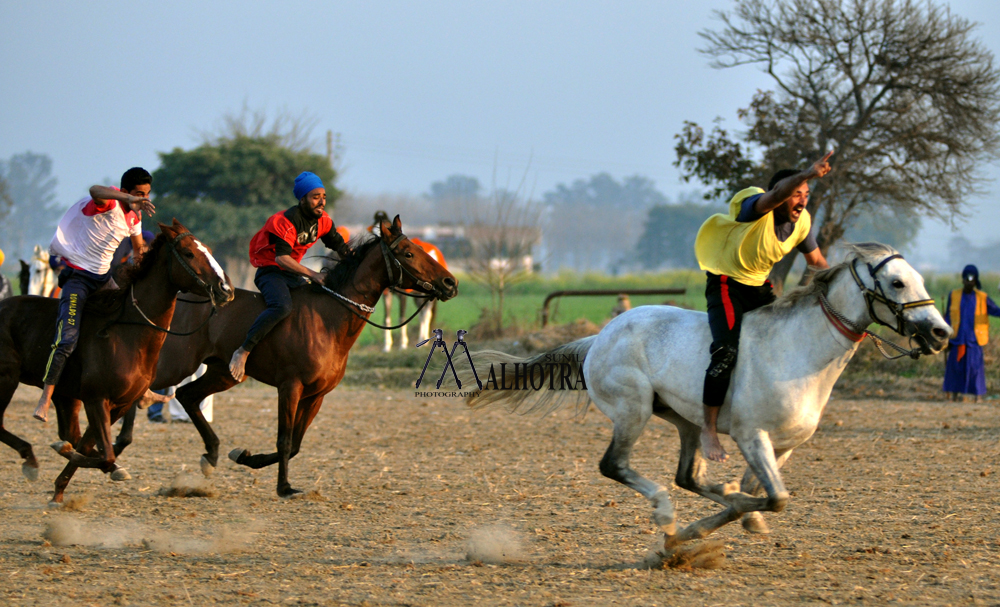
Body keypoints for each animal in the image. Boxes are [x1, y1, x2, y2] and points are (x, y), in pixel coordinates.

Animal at [0, 221, 234, 506]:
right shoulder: (97, 399)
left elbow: (90, 446)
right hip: (7, 378)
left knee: (69, 433)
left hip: (61, 395)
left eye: (207, 249)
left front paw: (60, 488)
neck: (128, 333)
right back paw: (30, 459)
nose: (225, 289)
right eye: (188, 253)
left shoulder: (119, 403)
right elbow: (103, 453)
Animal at [115, 216, 456, 496]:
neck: (329, 318)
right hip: (176, 363)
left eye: (419, 249)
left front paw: (246, 457)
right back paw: (117, 449)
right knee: (139, 387)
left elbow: (295, 445)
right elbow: (285, 440)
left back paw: (209, 454)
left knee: (187, 395)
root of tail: (181, 296)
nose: (450, 282)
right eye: (408, 253)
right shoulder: (290, 387)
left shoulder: (316, 395)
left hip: (223, 373)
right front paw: (284, 487)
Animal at [464, 245, 948, 560]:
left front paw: (733, 512)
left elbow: (758, 491)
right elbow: (776, 498)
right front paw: (713, 522)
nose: (940, 332)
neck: (799, 352)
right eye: (896, 282)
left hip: (687, 422)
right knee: (616, 466)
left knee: (687, 476)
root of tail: (600, 336)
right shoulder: (753, 437)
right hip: (633, 411)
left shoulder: (784, 445)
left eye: (921, 280)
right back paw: (666, 516)